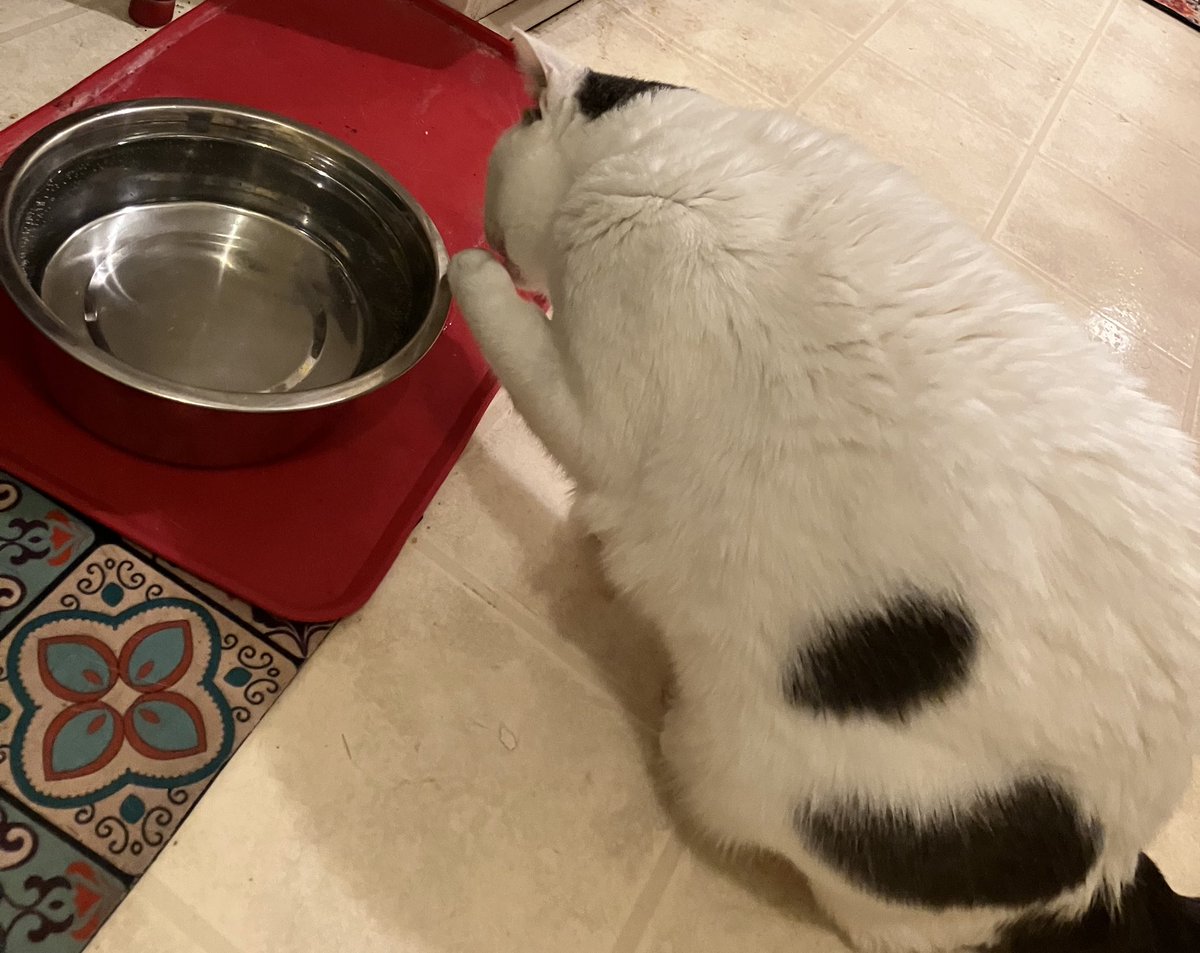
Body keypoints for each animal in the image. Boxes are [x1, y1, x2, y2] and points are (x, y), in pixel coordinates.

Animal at [447, 29, 1200, 953]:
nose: (487, 232)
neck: (662, 153)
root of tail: (1113, 874)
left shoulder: (598, 407)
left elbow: (523, 354)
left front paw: (463, 267)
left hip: (753, 767)